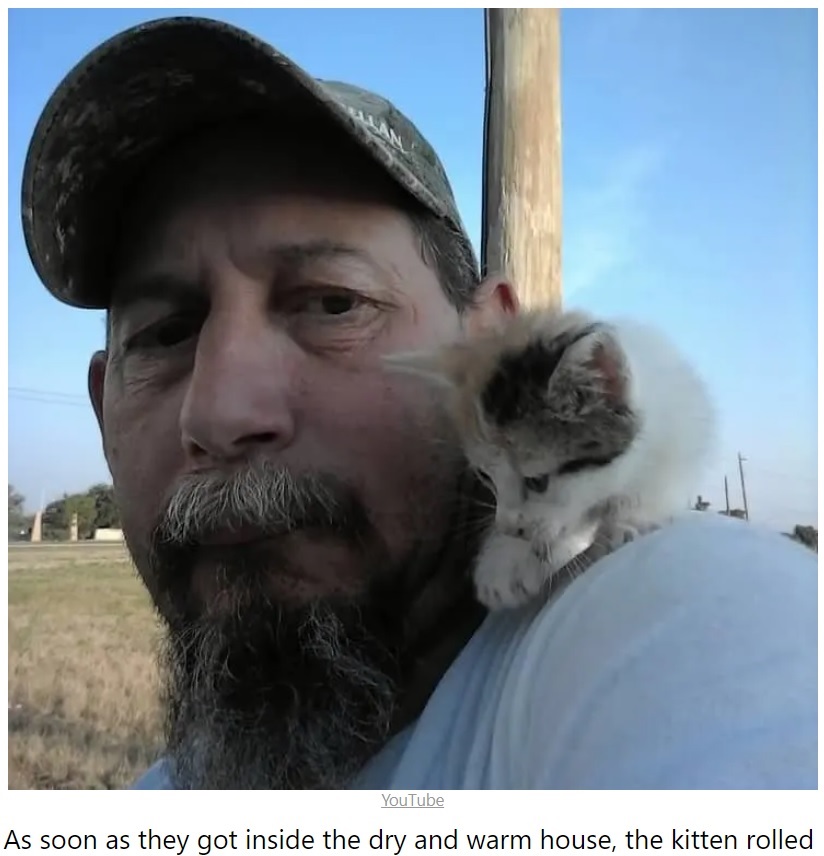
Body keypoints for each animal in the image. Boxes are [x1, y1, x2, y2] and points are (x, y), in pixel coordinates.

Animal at [386, 308, 716, 608]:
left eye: (538, 481)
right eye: (486, 477)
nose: (508, 528)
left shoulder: (684, 426)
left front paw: (629, 518)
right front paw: (507, 557)